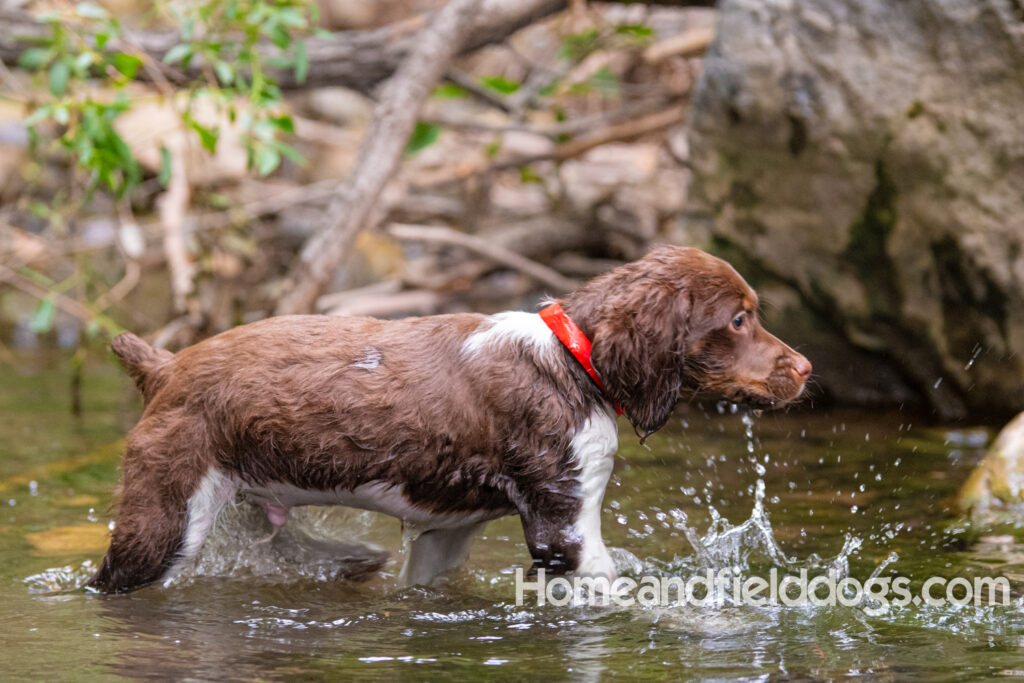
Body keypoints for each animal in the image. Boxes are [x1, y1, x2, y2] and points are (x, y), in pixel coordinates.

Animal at [88, 246, 806, 593]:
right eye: (738, 319)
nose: (803, 368)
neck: (572, 363)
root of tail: (167, 366)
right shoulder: (563, 526)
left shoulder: (444, 534)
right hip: (167, 517)